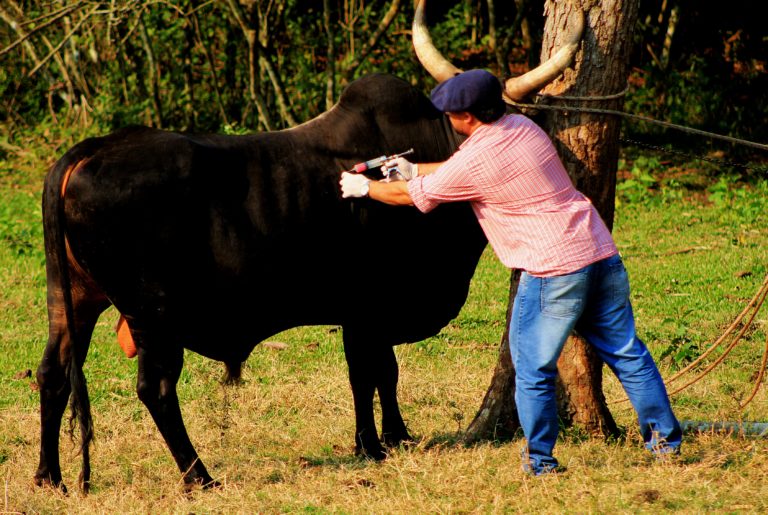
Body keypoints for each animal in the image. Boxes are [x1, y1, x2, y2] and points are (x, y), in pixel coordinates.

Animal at [36, 73, 486, 492]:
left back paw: (49, 476)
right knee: (156, 388)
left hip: (72, 297)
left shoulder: (367, 314)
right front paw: (372, 445)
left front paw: (396, 437)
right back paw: (199, 476)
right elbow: (368, 373)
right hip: (155, 314)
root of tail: (92, 148)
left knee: (52, 373)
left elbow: (383, 373)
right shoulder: (367, 308)